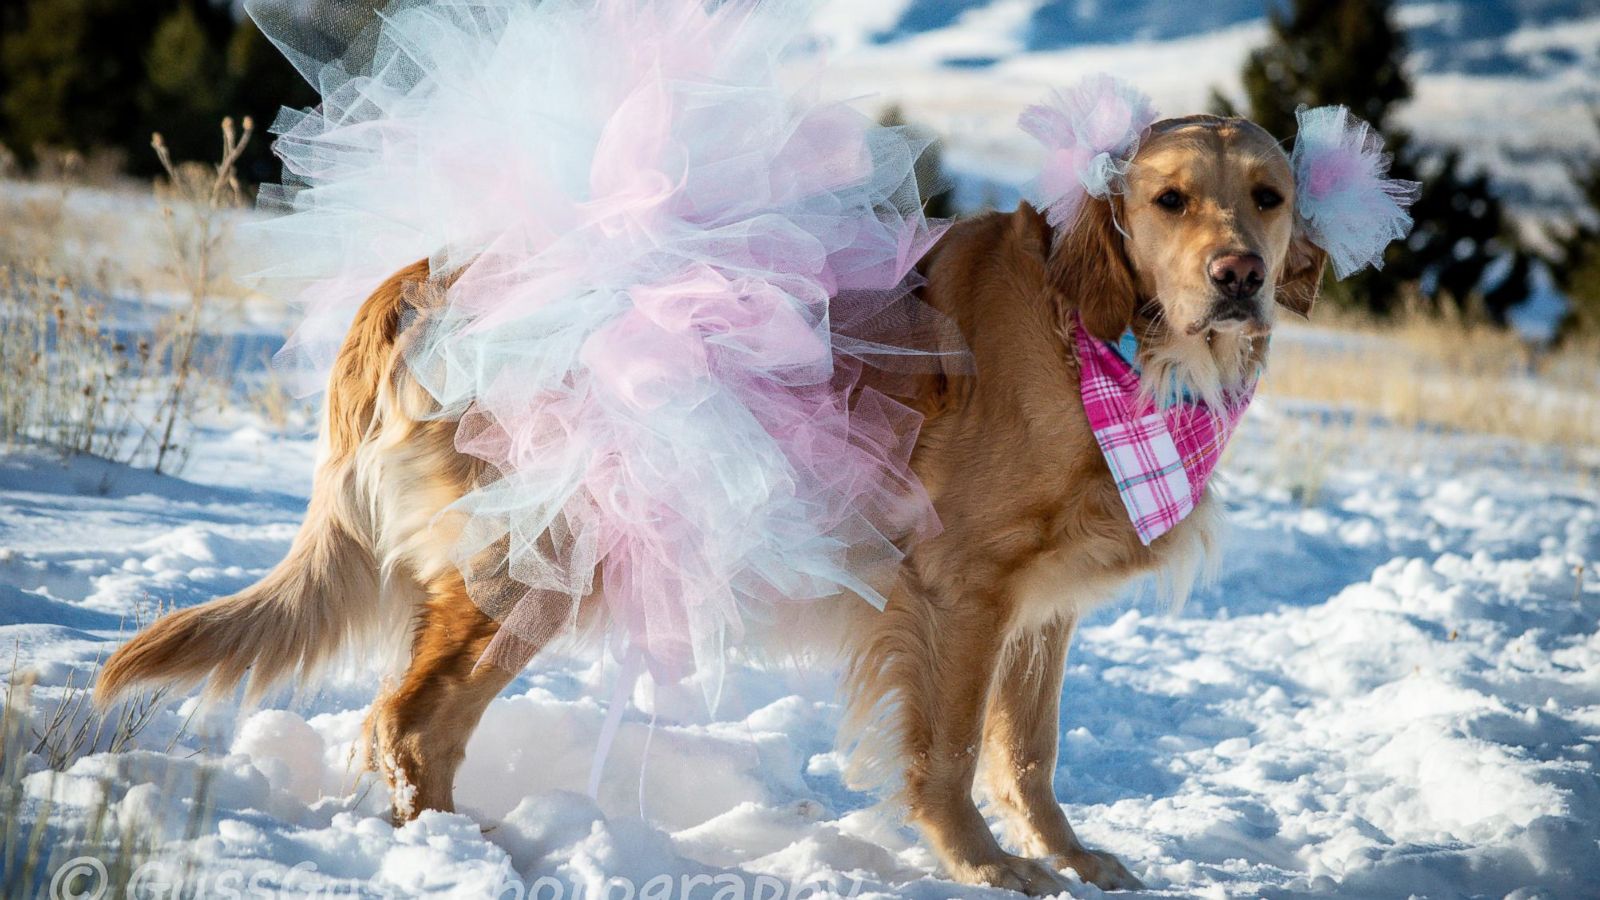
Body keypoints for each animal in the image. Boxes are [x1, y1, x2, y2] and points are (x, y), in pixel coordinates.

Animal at [96, 115, 1324, 890]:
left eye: (1265, 200)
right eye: (1168, 201)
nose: (1240, 276)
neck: (1102, 335)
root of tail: (407, 279)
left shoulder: (1041, 610)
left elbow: (1029, 753)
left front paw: (1070, 859)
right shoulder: (958, 591)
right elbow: (947, 753)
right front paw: (981, 866)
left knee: (421, 722)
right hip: (540, 556)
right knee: (408, 719)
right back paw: (460, 861)